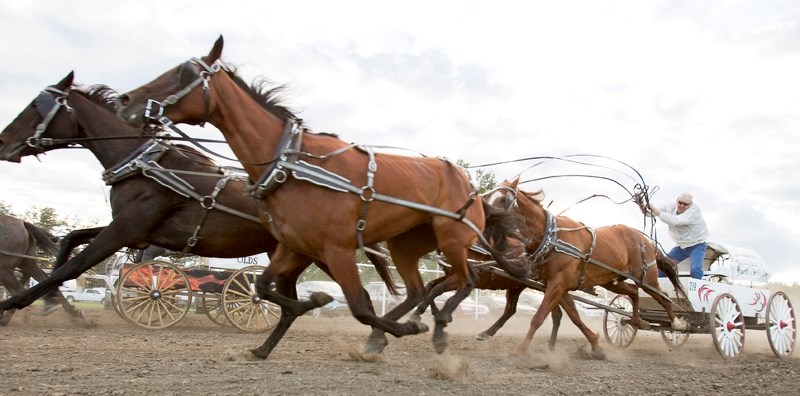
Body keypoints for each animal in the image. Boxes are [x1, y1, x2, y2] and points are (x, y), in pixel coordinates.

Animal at [0, 72, 398, 328]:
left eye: (37, 107)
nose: (3, 142)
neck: (145, 164)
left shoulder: (126, 230)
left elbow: (72, 267)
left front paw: (13, 304)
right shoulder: (134, 232)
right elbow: (68, 244)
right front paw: (56, 304)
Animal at [114, 35, 524, 358]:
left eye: (183, 73)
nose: (125, 100)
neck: (292, 164)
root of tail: (470, 184)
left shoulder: (337, 249)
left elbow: (359, 306)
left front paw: (402, 327)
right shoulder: (294, 247)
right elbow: (263, 287)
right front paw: (306, 309)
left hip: (453, 239)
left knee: (465, 280)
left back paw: (435, 326)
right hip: (404, 246)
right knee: (418, 290)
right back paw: (387, 333)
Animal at [484, 177, 692, 356]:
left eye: (503, 199)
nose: (484, 219)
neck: (552, 237)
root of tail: (646, 240)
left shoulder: (558, 283)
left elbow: (539, 316)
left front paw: (520, 350)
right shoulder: (556, 285)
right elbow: (574, 316)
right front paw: (595, 345)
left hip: (646, 277)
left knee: (663, 297)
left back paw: (677, 323)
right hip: (612, 281)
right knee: (633, 292)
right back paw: (637, 320)